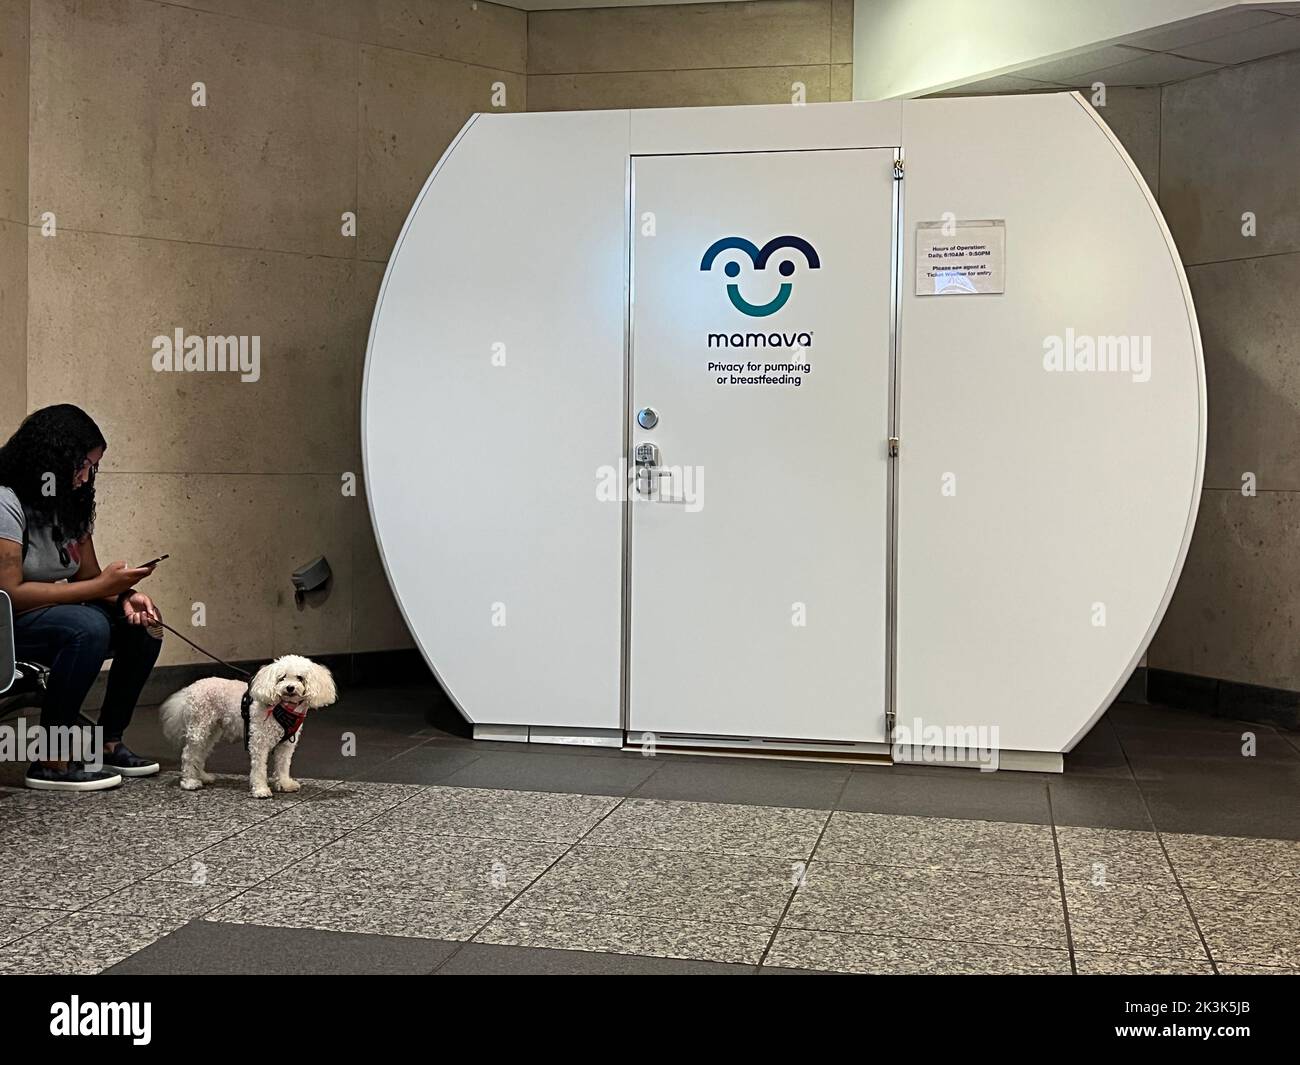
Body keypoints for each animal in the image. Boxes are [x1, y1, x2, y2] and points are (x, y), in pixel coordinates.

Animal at [158, 657, 335, 801]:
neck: (283, 708)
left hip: (211, 731)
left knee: (200, 754)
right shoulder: (259, 741)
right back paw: (190, 782)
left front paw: (285, 784)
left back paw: (202, 776)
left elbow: (283, 766)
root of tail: (189, 690)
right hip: (199, 727)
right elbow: (259, 768)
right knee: (189, 754)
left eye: (300, 678)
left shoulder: (285, 745)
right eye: (282, 677)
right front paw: (261, 790)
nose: (290, 688)